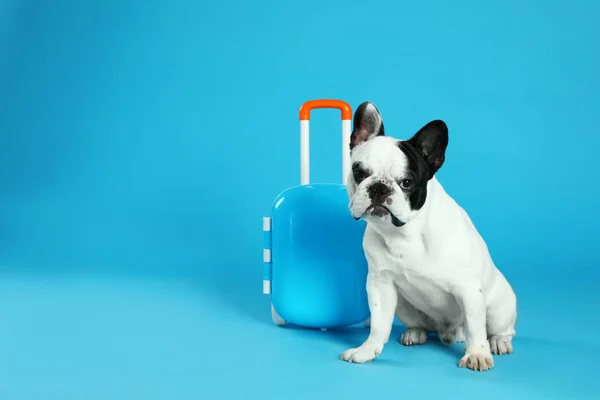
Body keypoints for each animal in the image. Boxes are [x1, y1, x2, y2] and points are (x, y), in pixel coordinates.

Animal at [340, 102, 516, 372]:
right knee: (418, 324)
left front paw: (477, 354)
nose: (379, 187)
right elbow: (379, 324)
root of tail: (449, 333)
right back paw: (415, 333)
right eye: (359, 172)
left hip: (498, 308)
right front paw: (367, 351)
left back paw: (498, 342)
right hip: (403, 304)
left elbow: (476, 327)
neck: (405, 232)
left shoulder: (468, 290)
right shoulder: (380, 285)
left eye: (407, 182)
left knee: (498, 329)